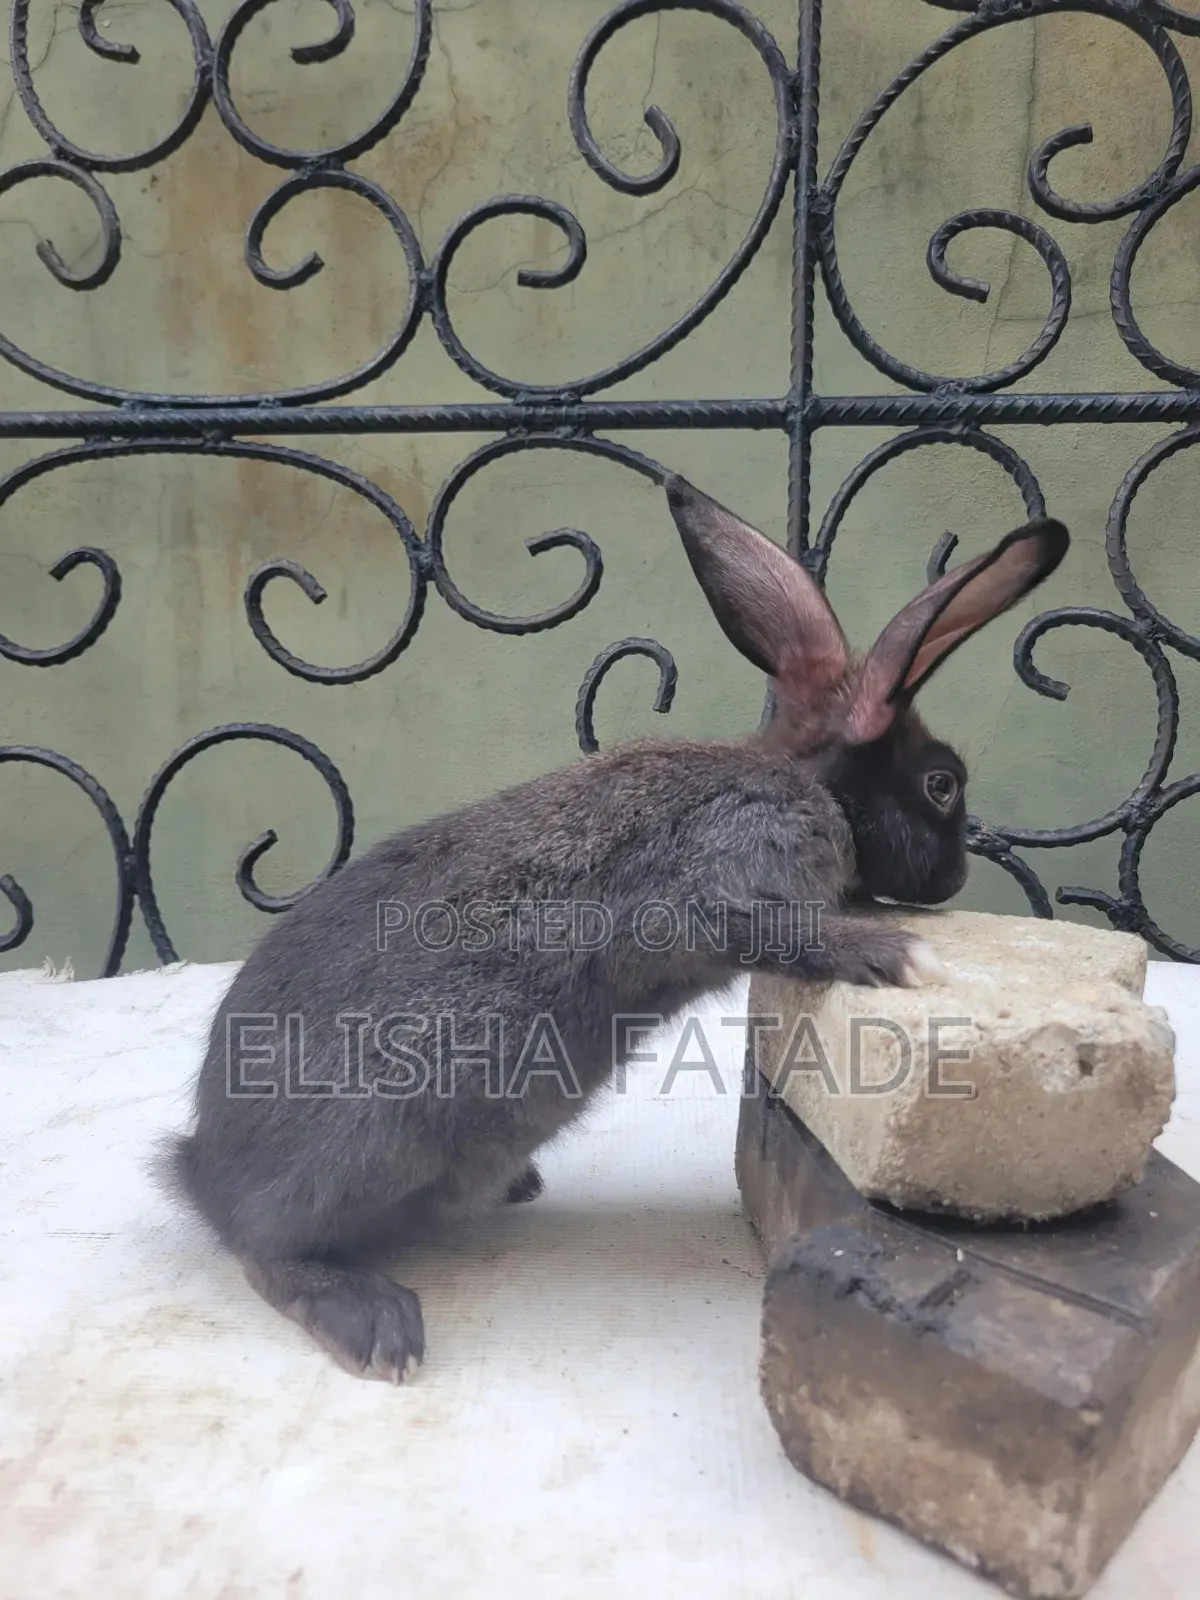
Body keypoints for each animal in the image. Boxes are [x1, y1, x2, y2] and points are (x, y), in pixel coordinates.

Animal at [160, 474, 1068, 1384]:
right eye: (942, 784)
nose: (952, 880)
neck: (809, 785)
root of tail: (201, 1166)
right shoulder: (719, 887)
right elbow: (783, 931)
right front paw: (901, 956)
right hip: (367, 1147)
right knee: (265, 1253)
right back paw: (379, 1326)